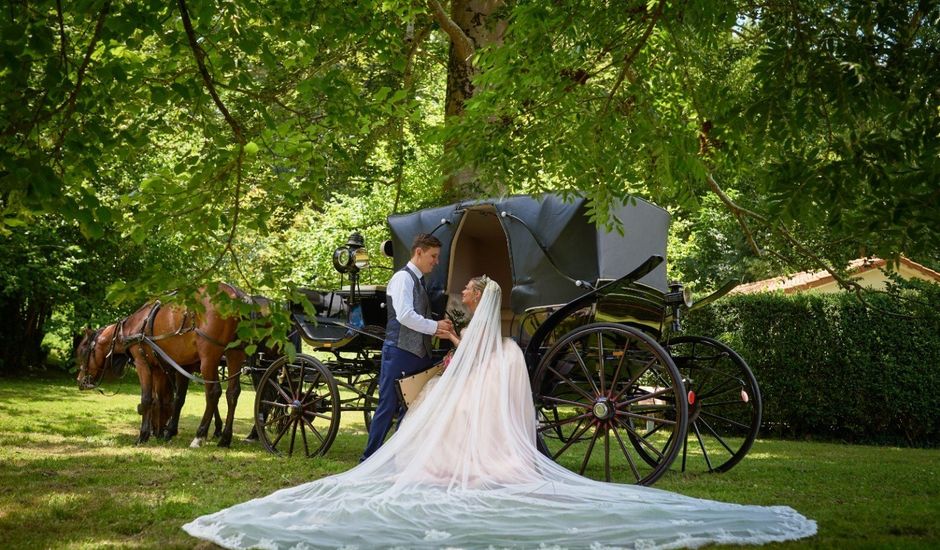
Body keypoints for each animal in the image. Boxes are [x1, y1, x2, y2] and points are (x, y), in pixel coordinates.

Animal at [78, 284, 246, 448]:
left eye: (83, 352)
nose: (80, 381)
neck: (133, 327)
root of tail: (235, 295)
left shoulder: (143, 363)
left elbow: (147, 399)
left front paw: (144, 435)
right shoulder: (161, 368)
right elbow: (162, 400)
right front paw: (161, 432)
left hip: (209, 358)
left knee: (213, 392)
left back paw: (199, 436)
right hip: (234, 353)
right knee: (232, 392)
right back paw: (225, 439)